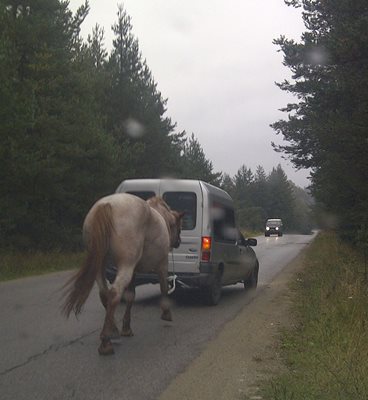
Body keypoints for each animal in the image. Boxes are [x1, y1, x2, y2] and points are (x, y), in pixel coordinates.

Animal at [62, 194, 187, 356]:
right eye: (179, 226)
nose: (178, 242)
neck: (162, 218)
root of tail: (106, 205)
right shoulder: (162, 264)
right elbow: (164, 288)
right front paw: (166, 313)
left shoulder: (134, 271)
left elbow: (130, 296)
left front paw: (126, 328)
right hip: (125, 265)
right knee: (114, 293)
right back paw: (106, 342)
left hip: (100, 264)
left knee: (105, 293)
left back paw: (113, 330)